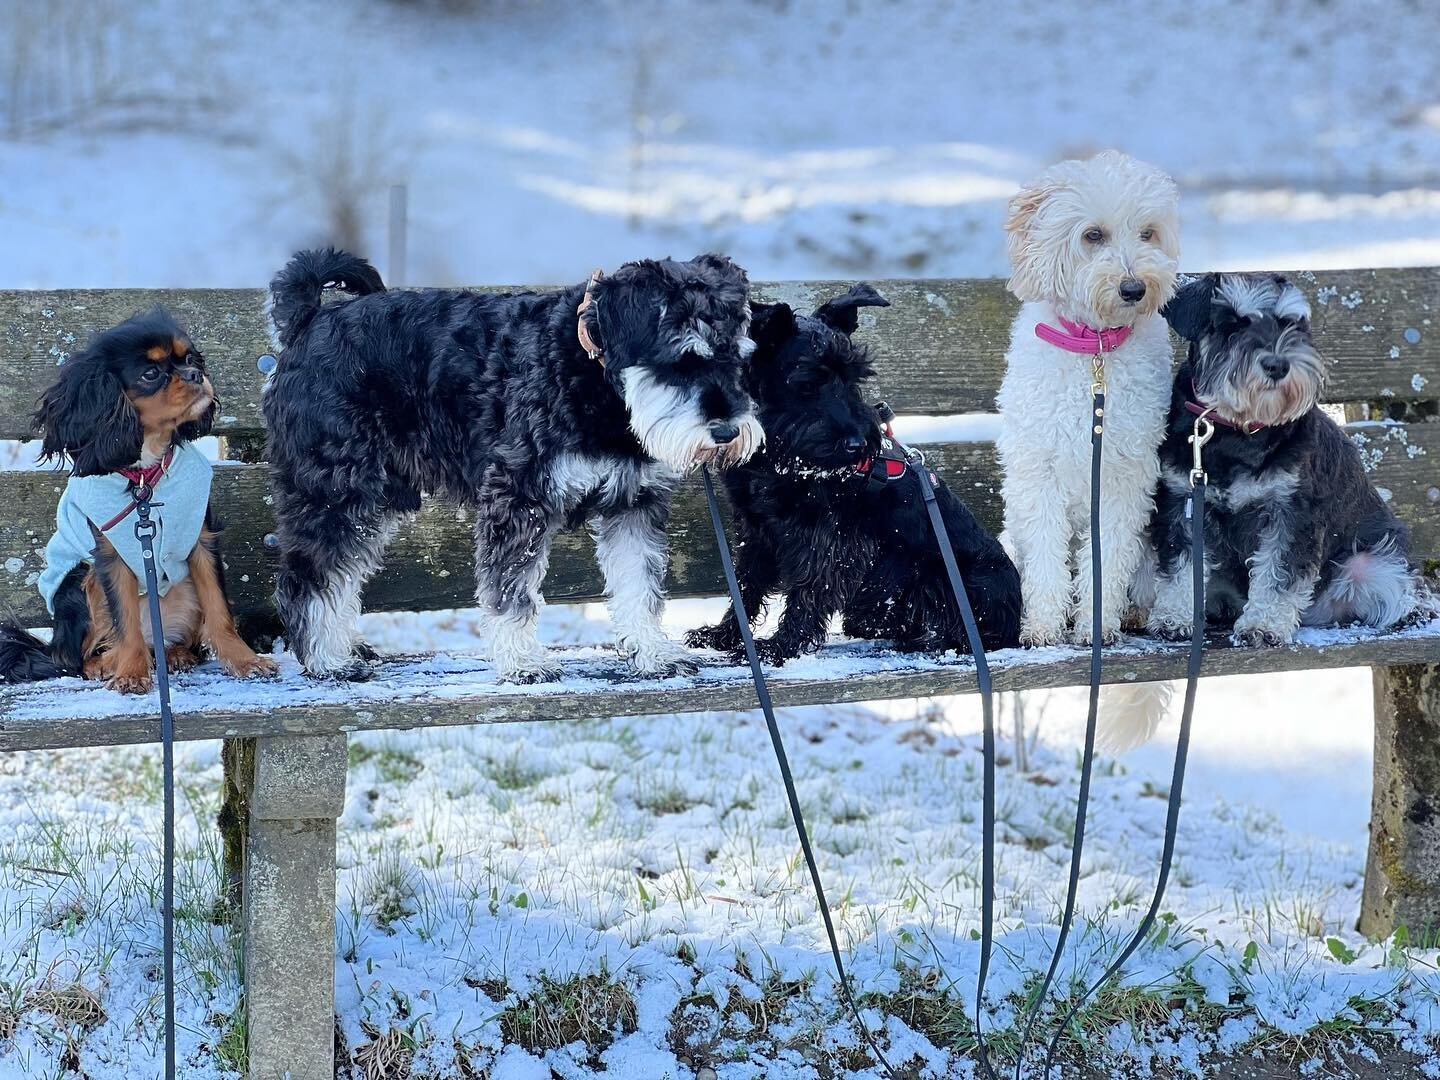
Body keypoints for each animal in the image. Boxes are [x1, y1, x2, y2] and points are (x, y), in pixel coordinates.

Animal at [269, 249, 766, 679]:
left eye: (739, 356)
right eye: (683, 360)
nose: (727, 432)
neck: (591, 373)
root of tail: (309, 321)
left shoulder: (634, 505)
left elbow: (639, 584)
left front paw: (652, 652)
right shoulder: (519, 497)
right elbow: (512, 589)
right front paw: (522, 662)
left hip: (375, 497)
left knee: (344, 571)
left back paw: (343, 645)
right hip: (338, 489)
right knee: (309, 576)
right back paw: (326, 659)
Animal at [685, 283, 1025, 665]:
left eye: (854, 377)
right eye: (807, 382)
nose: (858, 443)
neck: (779, 454)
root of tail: (1017, 621)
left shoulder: (831, 539)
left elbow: (808, 591)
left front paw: (780, 646)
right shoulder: (757, 530)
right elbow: (747, 584)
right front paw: (726, 634)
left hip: (946, 578)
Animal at [1140, 272, 1422, 642]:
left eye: (1292, 324)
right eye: (1232, 325)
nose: (1278, 364)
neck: (1237, 430)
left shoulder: (1290, 512)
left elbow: (1278, 573)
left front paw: (1262, 624)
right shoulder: (1182, 502)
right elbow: (1181, 568)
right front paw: (1173, 617)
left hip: (1373, 563)